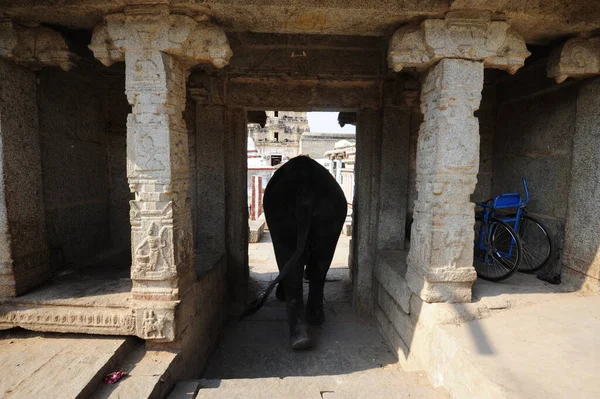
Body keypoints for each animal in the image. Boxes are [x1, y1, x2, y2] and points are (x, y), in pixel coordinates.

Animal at [243, 156, 346, 350]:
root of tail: (304, 181)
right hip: (330, 211)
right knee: (321, 260)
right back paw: (311, 325)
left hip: (281, 211)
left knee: (289, 257)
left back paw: (301, 339)